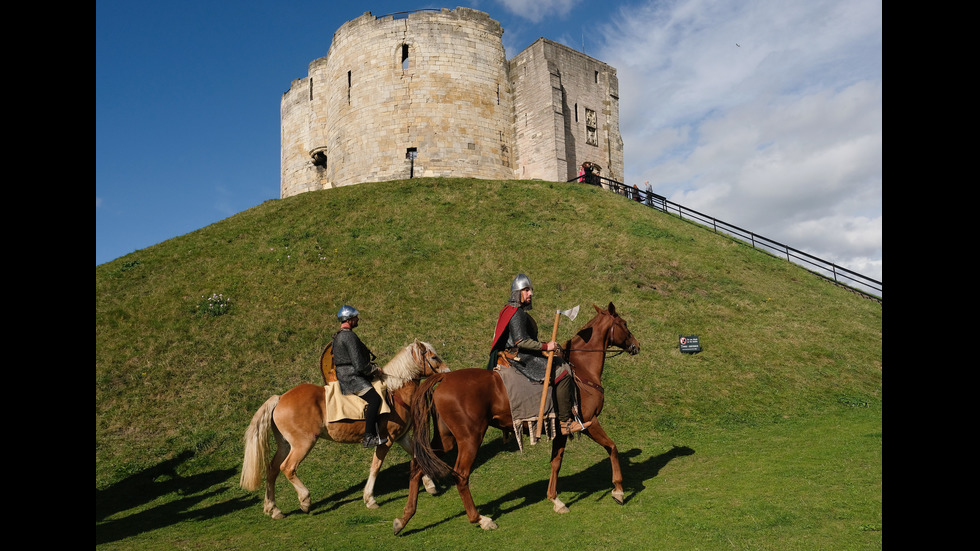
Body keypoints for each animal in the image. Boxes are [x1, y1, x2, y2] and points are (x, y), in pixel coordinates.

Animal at [241, 340, 448, 516]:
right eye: (434, 357)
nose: (447, 371)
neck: (395, 391)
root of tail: (280, 398)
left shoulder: (402, 437)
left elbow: (417, 456)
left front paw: (430, 485)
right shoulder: (386, 441)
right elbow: (375, 467)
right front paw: (370, 499)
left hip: (285, 445)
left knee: (272, 469)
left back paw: (273, 509)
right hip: (303, 444)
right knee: (287, 468)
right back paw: (305, 500)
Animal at [394, 304, 640, 532]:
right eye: (624, 324)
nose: (636, 346)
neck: (581, 370)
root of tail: (443, 379)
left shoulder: (560, 429)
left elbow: (556, 462)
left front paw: (555, 500)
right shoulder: (589, 422)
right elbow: (612, 447)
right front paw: (618, 490)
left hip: (445, 439)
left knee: (417, 465)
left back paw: (404, 518)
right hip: (469, 438)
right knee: (461, 476)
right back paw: (480, 519)